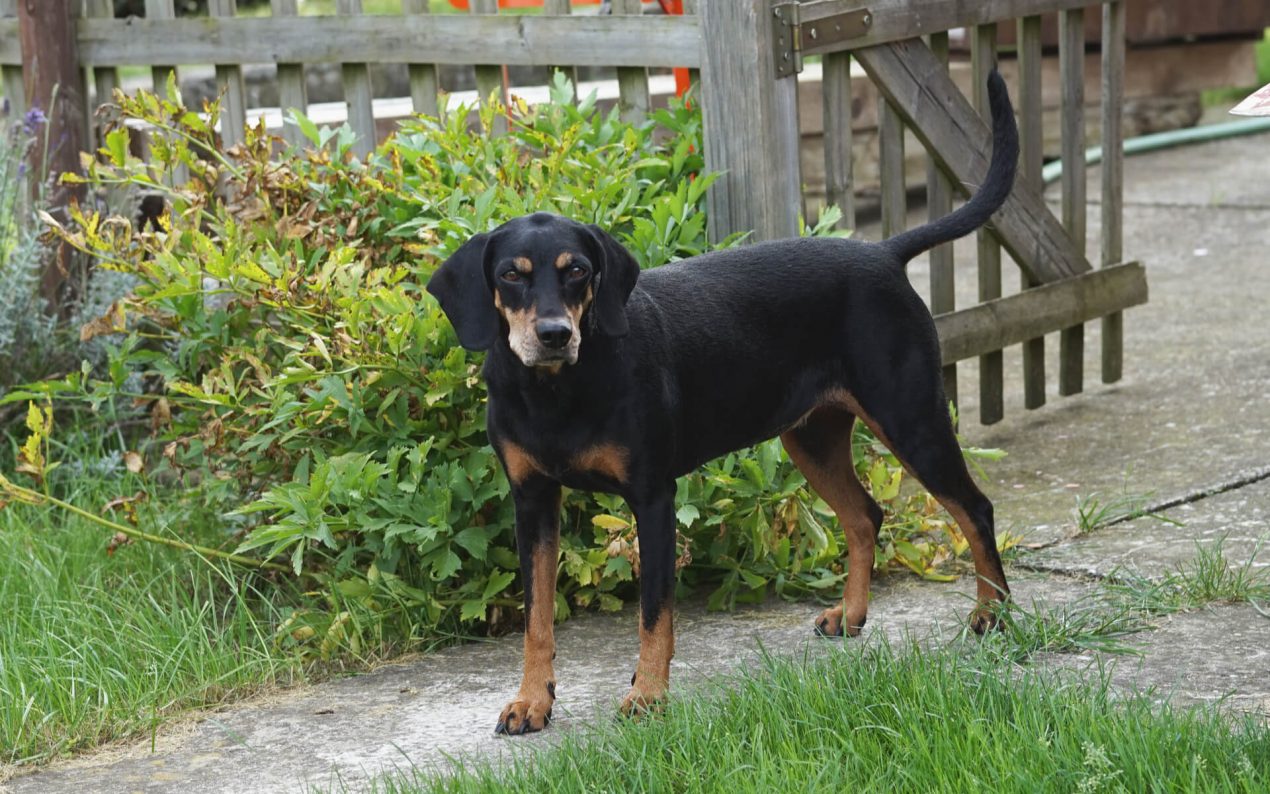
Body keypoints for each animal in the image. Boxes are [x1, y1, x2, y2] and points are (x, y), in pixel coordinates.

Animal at [431, 71, 1016, 731]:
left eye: (578, 269)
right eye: (511, 274)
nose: (554, 334)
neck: (557, 390)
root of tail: (884, 253)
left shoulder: (652, 496)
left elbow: (654, 612)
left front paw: (648, 694)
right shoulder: (531, 501)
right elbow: (536, 618)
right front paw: (532, 700)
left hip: (910, 418)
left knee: (975, 509)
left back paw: (992, 614)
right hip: (811, 437)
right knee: (865, 515)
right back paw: (851, 615)